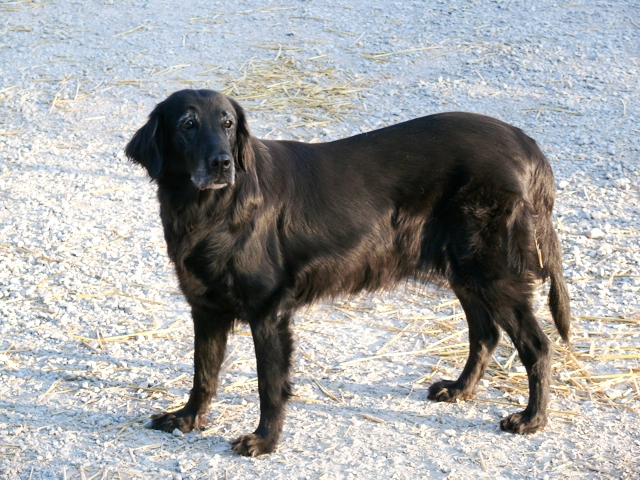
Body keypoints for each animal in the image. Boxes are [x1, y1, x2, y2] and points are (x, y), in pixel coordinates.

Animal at [125, 91, 568, 458]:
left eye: (228, 123)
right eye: (188, 124)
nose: (223, 163)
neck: (212, 208)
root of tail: (527, 145)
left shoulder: (269, 311)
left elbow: (269, 384)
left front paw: (264, 440)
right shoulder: (205, 307)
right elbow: (203, 372)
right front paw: (186, 417)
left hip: (492, 271)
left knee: (537, 345)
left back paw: (531, 419)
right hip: (465, 268)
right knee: (486, 334)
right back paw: (459, 389)